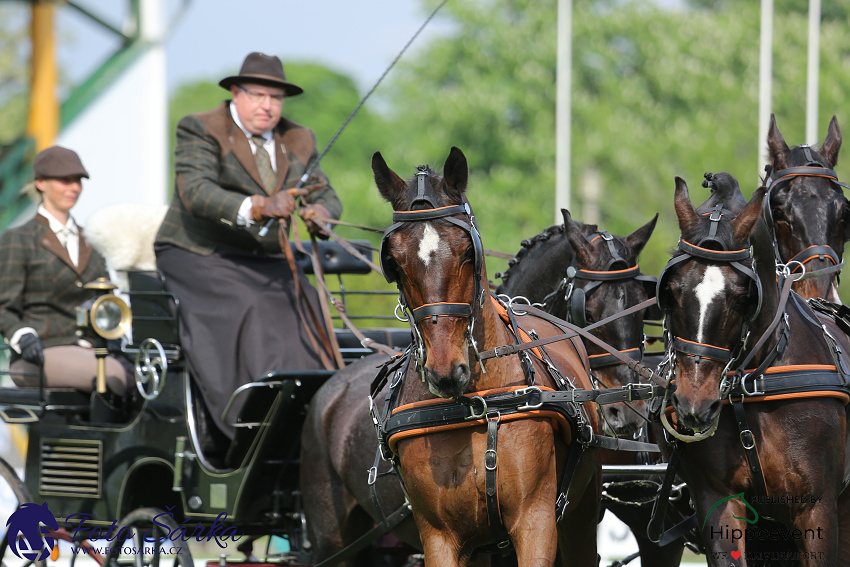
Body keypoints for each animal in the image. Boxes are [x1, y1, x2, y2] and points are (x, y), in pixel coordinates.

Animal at [302, 148, 600, 567]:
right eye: (394, 262)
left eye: (467, 251)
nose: (445, 372)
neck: (476, 405)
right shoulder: (440, 537)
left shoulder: (536, 523)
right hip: (334, 541)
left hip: (581, 516)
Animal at [660, 175, 850, 564]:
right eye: (671, 289)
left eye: (742, 296)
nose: (694, 405)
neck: (754, 385)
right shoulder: (718, 502)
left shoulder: (817, 508)